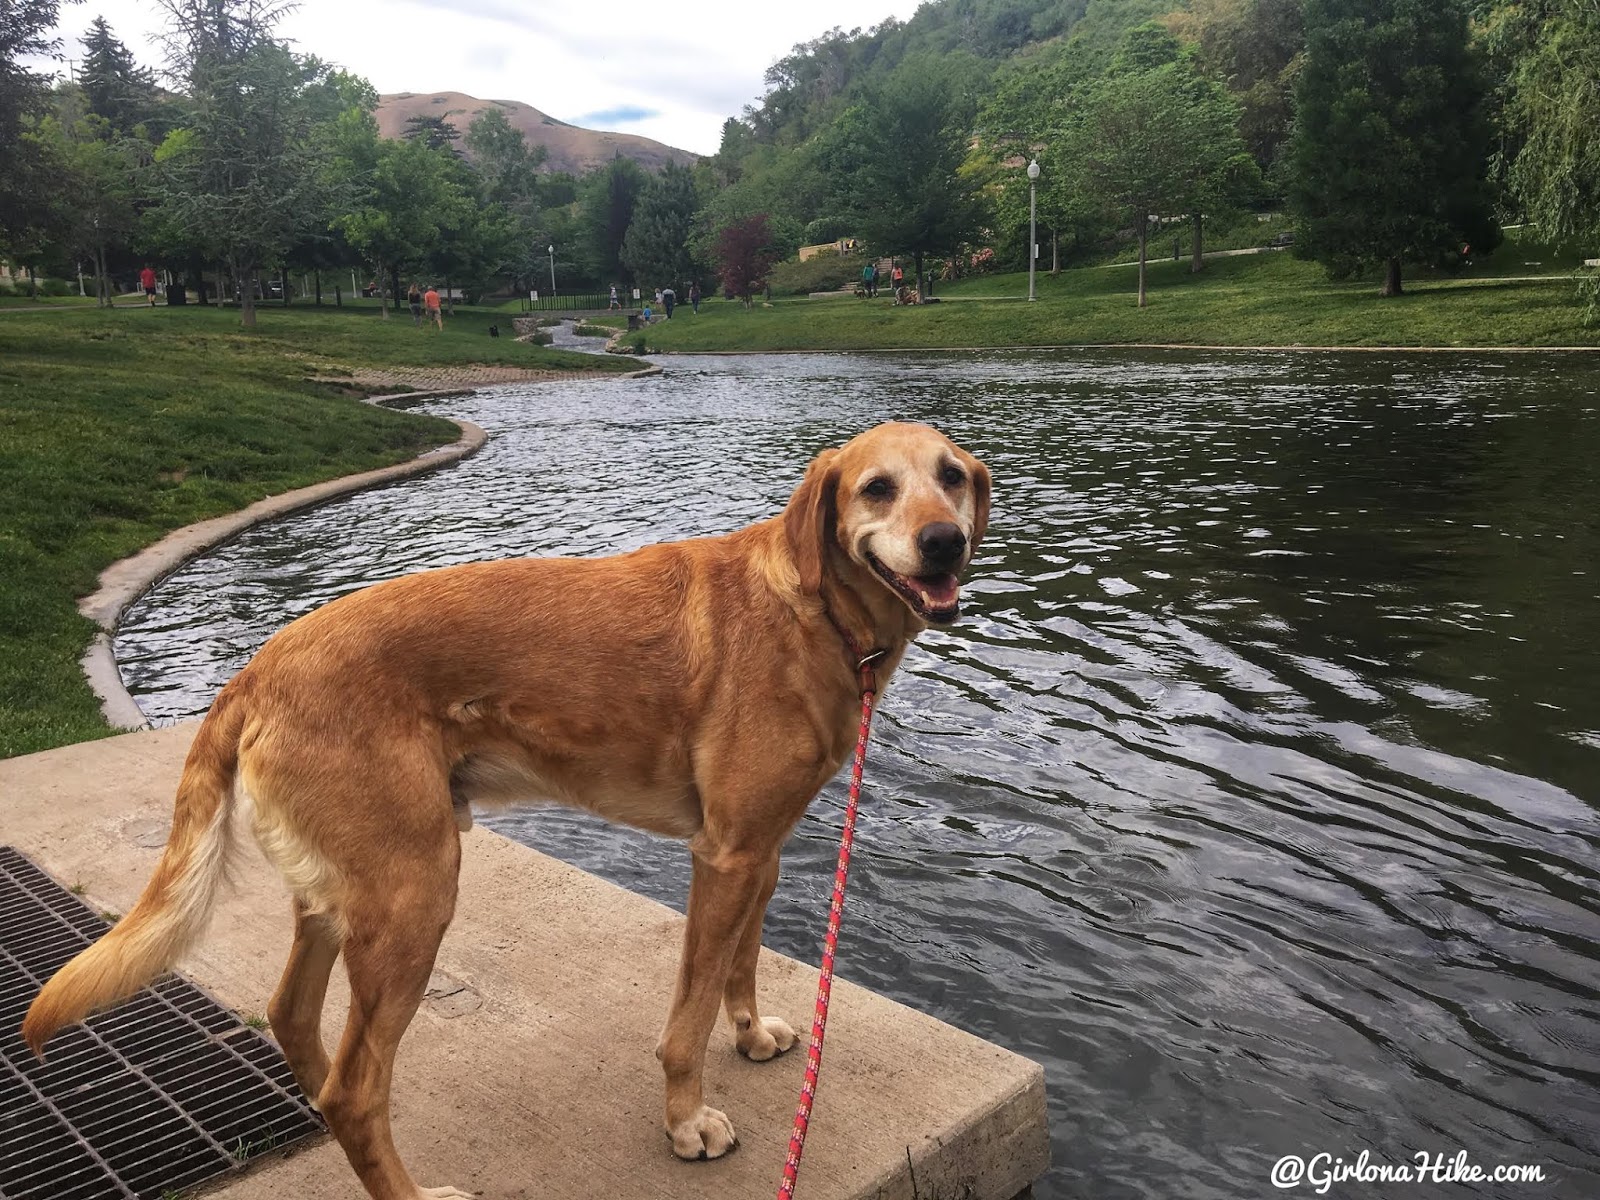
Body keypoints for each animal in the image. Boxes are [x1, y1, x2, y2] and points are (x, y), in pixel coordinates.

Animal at [28, 419, 985, 1196]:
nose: (943, 543)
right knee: (356, 1089)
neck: (815, 607)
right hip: (416, 895)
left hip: (344, 896)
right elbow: (687, 1016)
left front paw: (748, 1038)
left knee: (299, 1026)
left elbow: (739, 968)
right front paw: (685, 1122)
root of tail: (257, 671)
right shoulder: (725, 859)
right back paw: (409, 1191)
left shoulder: (761, 850)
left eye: (952, 477)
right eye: (877, 487)